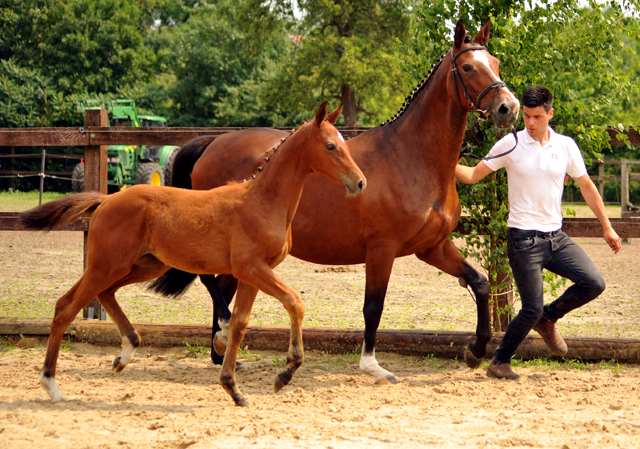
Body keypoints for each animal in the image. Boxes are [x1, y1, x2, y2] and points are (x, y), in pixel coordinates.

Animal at [20, 102, 364, 406]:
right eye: (331, 146)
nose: (360, 182)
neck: (263, 200)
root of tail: (105, 200)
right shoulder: (252, 268)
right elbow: (294, 302)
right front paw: (285, 373)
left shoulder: (251, 274)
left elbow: (240, 323)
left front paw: (233, 388)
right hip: (106, 264)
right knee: (66, 307)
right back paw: (51, 385)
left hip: (144, 266)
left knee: (104, 294)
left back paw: (125, 353)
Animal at [154, 18, 520, 382]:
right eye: (468, 67)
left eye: (496, 62)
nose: (509, 108)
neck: (411, 157)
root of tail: (212, 143)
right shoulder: (382, 249)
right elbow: (374, 307)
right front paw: (371, 364)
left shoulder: (431, 246)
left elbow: (480, 283)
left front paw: (475, 350)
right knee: (209, 281)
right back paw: (223, 332)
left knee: (222, 286)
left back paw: (222, 353)